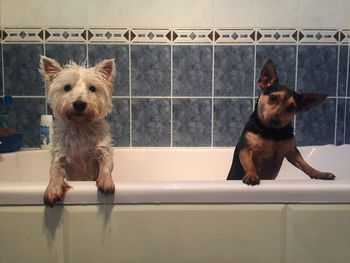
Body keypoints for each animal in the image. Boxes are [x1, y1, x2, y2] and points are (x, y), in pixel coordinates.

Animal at [39, 55, 116, 207]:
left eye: (92, 88)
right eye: (67, 87)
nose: (79, 104)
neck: (80, 125)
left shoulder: (102, 150)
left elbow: (106, 165)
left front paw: (106, 182)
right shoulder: (60, 154)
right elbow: (55, 171)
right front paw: (53, 189)